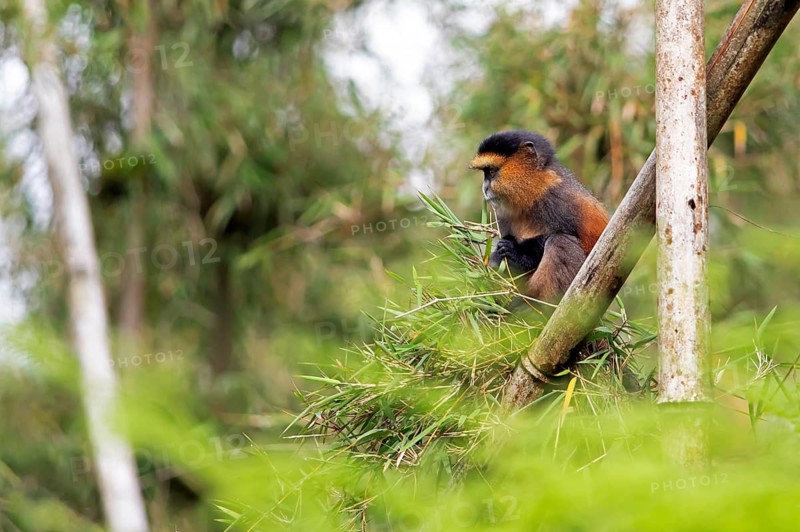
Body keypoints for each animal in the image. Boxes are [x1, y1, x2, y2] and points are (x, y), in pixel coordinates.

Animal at [470, 130, 609, 303]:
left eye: (492, 172)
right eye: (486, 173)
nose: (485, 188)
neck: (533, 194)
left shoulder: (560, 200)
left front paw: (516, 251)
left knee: (559, 241)